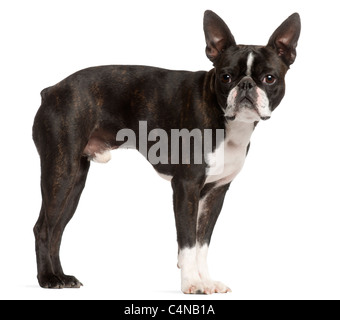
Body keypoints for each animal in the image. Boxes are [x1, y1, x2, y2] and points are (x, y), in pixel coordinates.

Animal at [32, 10, 300, 294]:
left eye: (269, 78)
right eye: (226, 77)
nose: (247, 85)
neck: (229, 123)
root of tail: (51, 90)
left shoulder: (215, 192)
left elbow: (202, 242)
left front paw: (206, 281)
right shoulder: (186, 186)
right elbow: (188, 241)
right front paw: (192, 283)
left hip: (75, 182)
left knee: (57, 229)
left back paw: (61, 276)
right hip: (61, 172)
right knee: (44, 228)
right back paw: (47, 279)